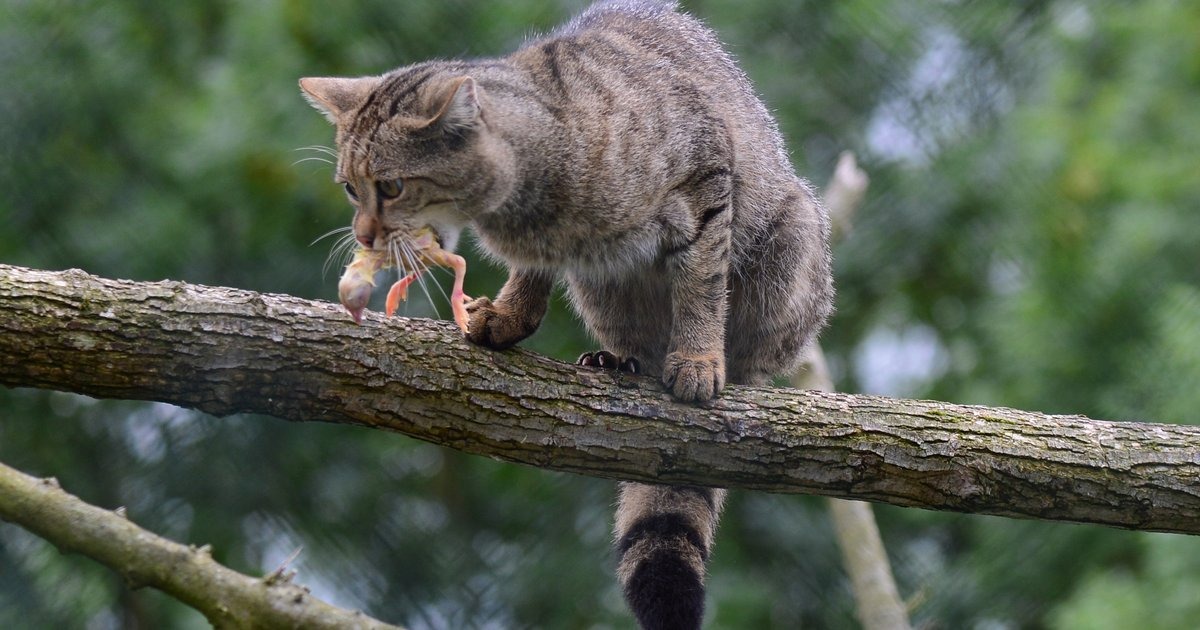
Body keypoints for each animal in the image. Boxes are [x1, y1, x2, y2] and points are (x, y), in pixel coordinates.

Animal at [300, 2, 830, 624]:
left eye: (392, 186)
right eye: (349, 189)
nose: (362, 234)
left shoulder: (707, 181)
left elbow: (700, 285)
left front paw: (698, 358)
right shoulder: (553, 248)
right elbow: (531, 276)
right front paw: (508, 317)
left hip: (792, 235)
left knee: (749, 353)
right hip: (602, 288)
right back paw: (620, 361)